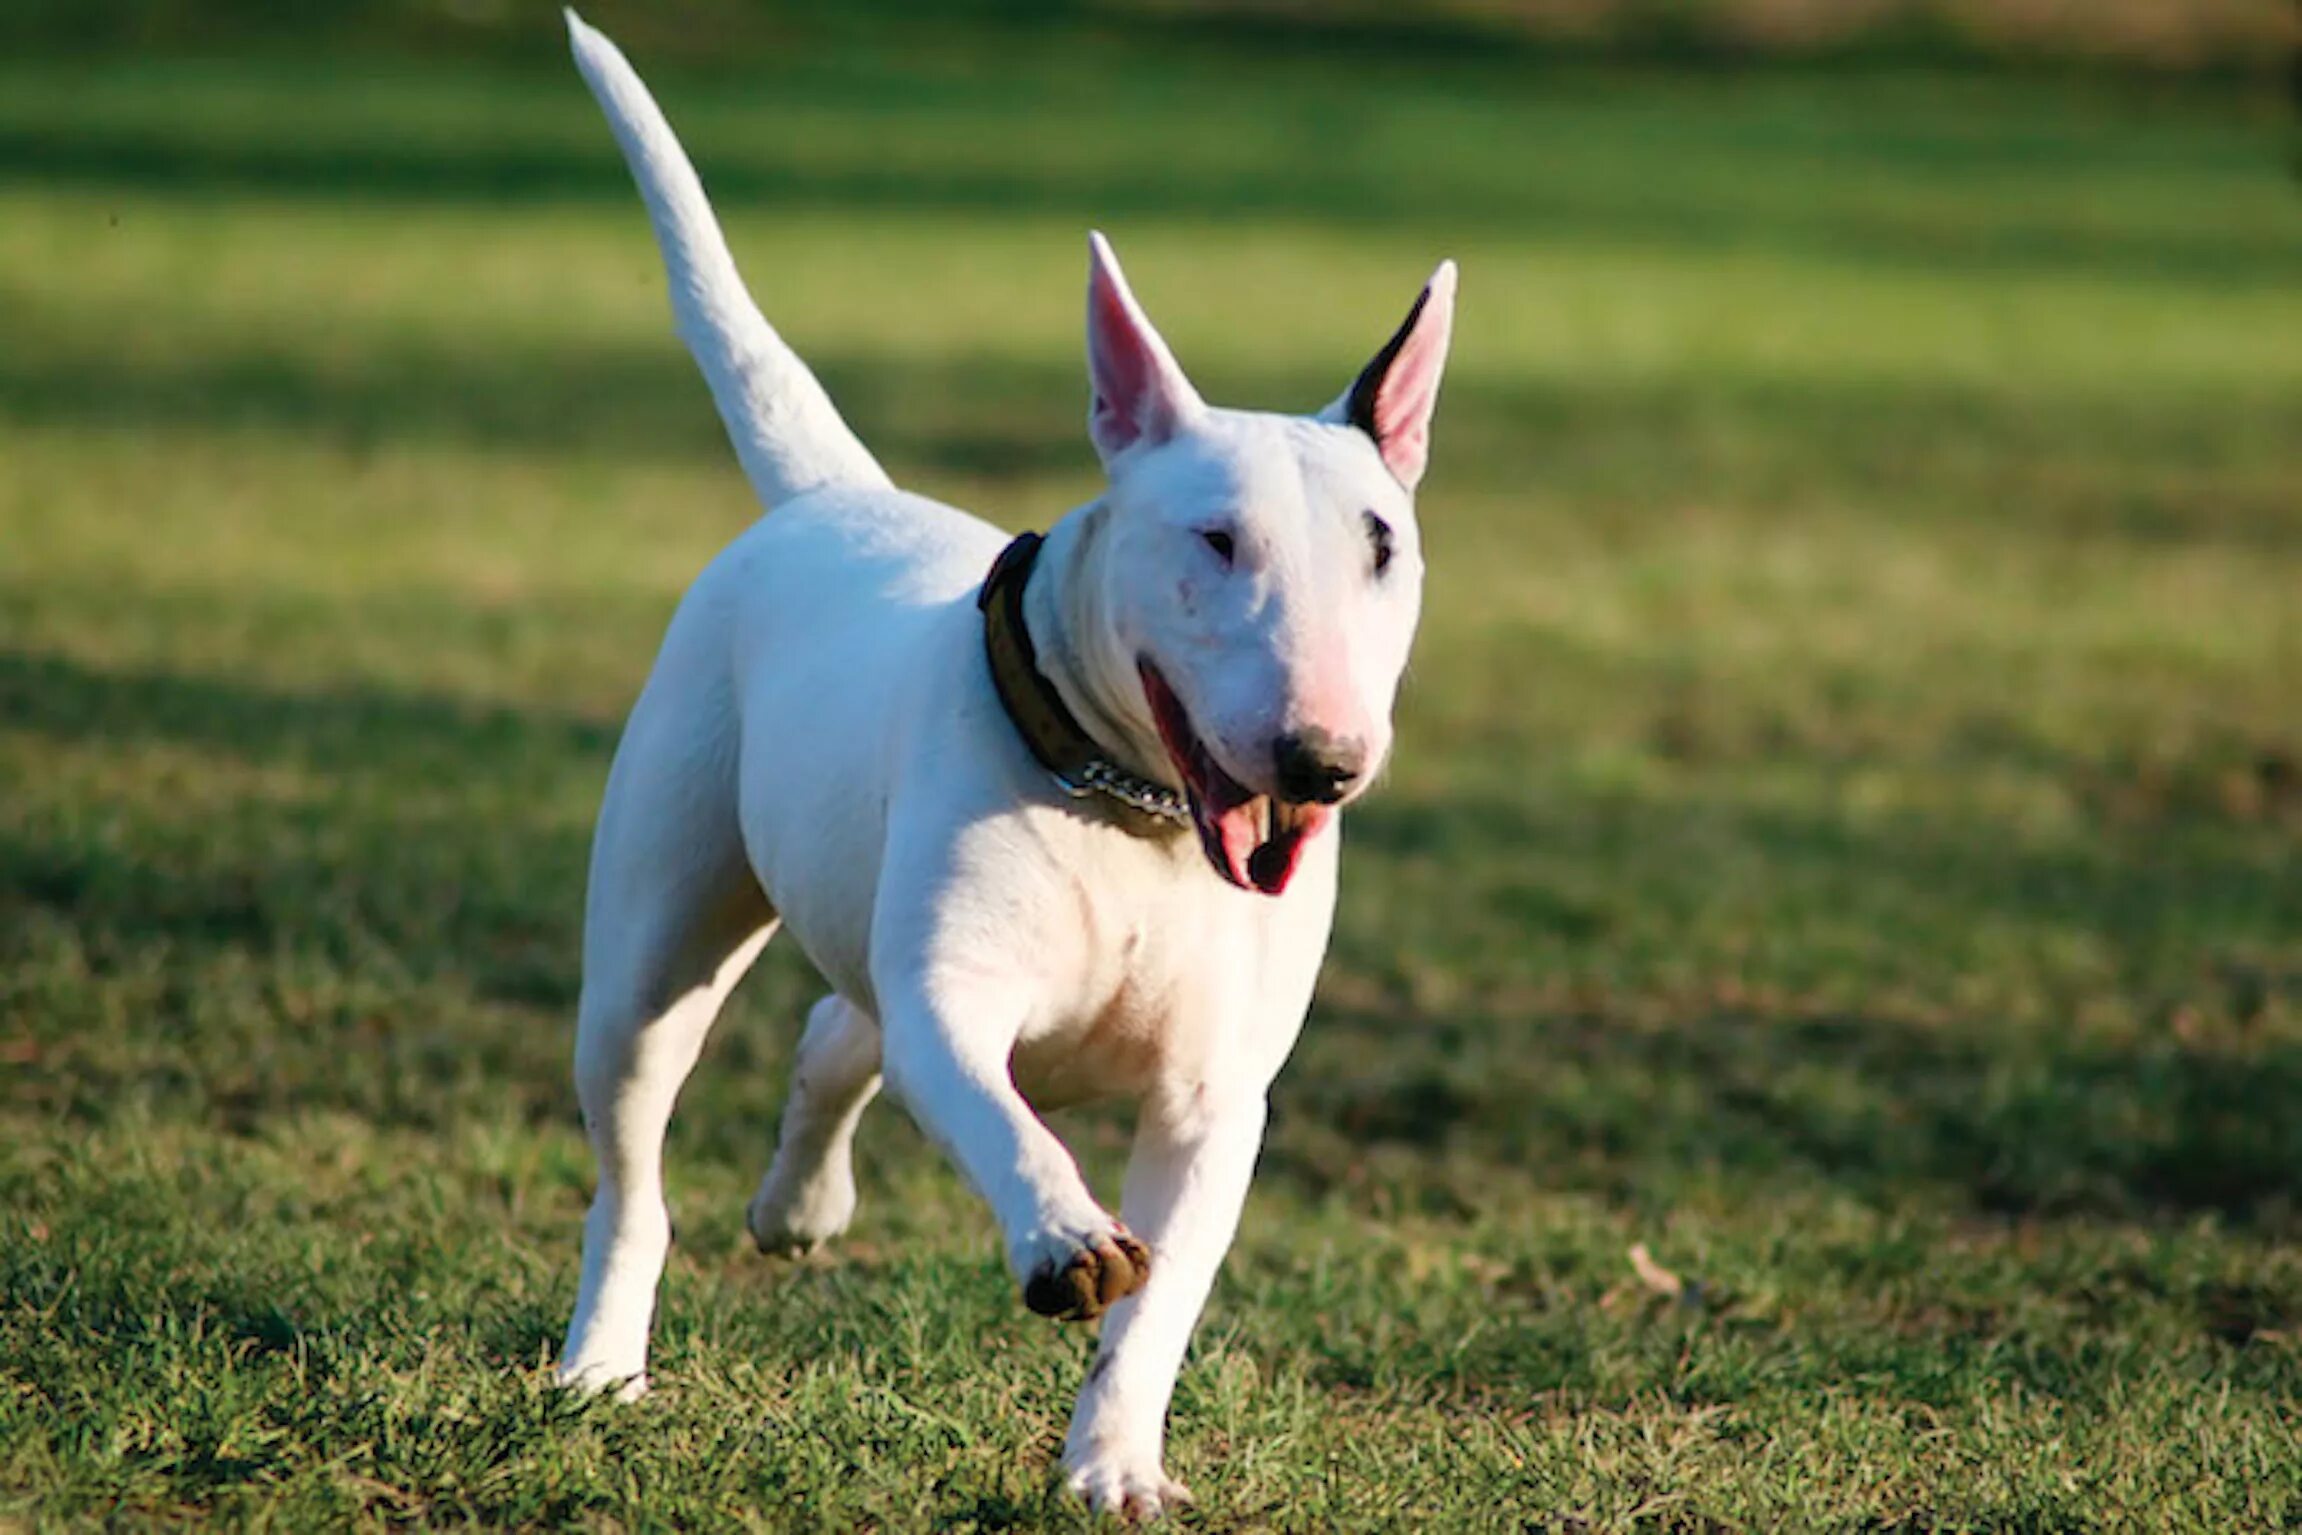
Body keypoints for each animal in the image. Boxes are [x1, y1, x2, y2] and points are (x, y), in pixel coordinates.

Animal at [557, 12, 1445, 1518]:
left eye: (1382, 544)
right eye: (1215, 539)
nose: (1321, 759)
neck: (1135, 811)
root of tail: (834, 496)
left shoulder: (1215, 1095)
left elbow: (1161, 1303)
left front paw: (1116, 1463)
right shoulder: (955, 996)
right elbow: (994, 1110)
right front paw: (1065, 1236)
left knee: (834, 1025)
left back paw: (798, 1205)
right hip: (655, 935)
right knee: (639, 1157)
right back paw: (599, 1360)